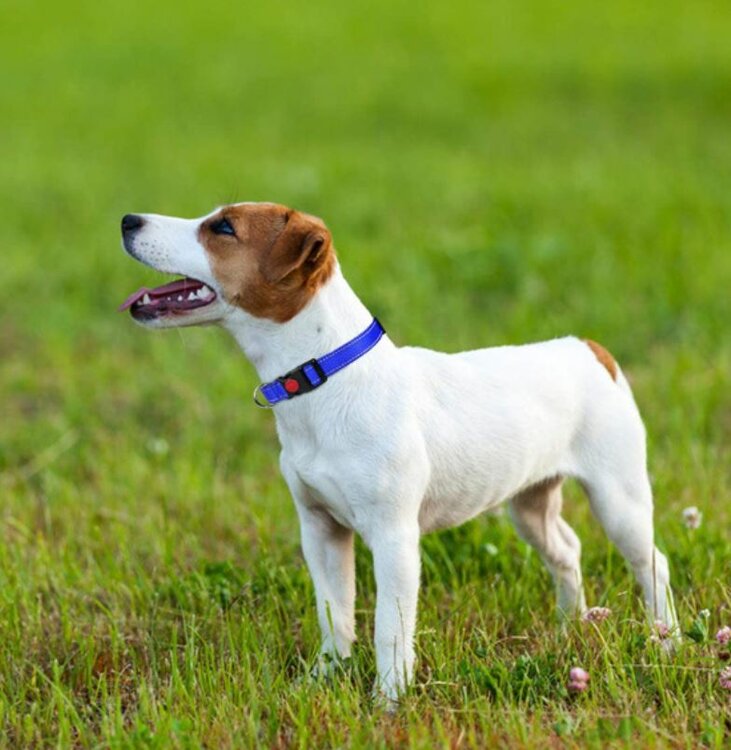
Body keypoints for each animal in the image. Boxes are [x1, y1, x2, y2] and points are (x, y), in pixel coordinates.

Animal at [118, 203, 676, 704]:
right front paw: (323, 679)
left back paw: (665, 641)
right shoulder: (320, 529)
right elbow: (335, 613)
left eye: (224, 228)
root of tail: (590, 350)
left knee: (653, 562)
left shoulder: (394, 537)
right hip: (529, 503)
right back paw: (568, 627)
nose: (127, 220)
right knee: (567, 550)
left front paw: (387, 700)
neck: (324, 375)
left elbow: (390, 626)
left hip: (618, 497)